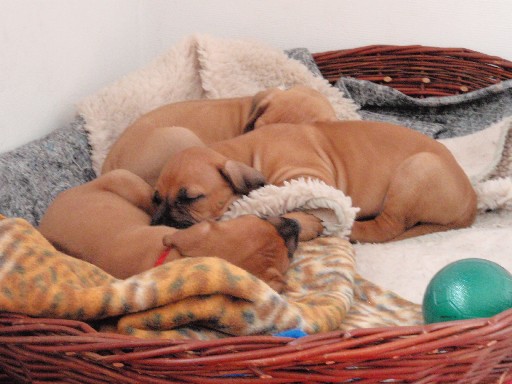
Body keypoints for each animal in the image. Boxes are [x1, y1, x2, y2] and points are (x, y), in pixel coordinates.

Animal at [152, 121, 476, 243]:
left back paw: (350, 230)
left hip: (417, 171)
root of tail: (472, 202)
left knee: (386, 227)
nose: (159, 221)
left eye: (191, 198)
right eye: (156, 198)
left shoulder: (307, 175)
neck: (246, 153)